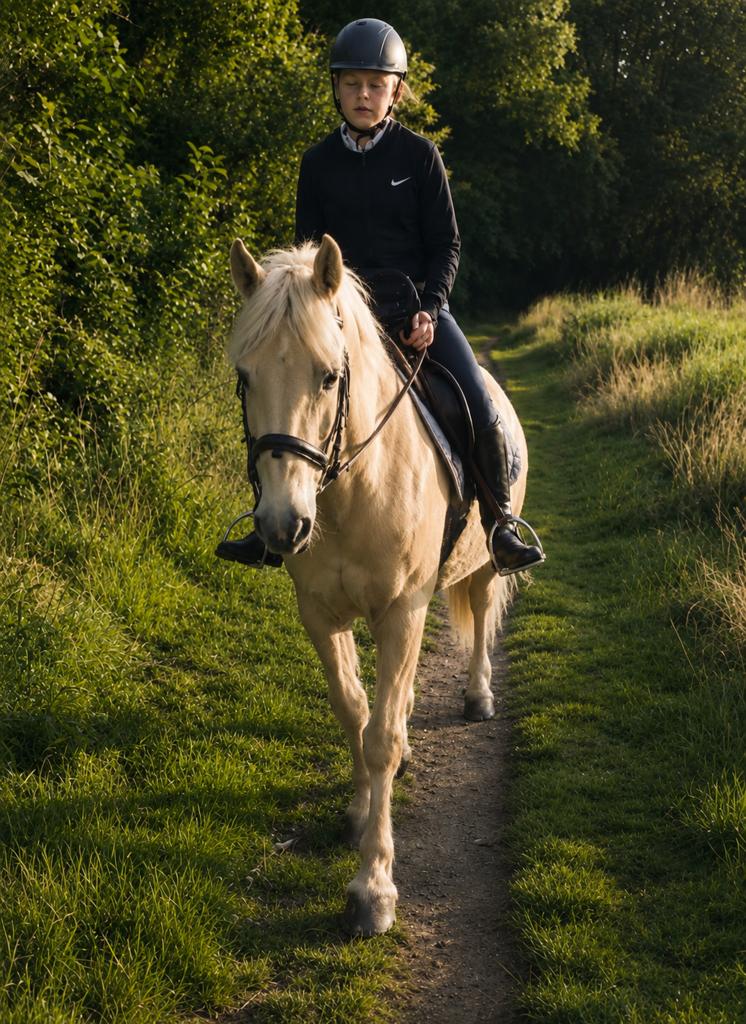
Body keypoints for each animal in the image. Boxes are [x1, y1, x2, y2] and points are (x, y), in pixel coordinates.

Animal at [228, 234, 528, 937]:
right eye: (246, 378)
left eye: (329, 376)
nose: (282, 524)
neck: (350, 491)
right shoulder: (319, 613)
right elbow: (355, 712)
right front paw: (361, 813)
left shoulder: (401, 609)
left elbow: (382, 740)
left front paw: (374, 890)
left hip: (480, 565)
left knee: (480, 613)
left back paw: (478, 696)